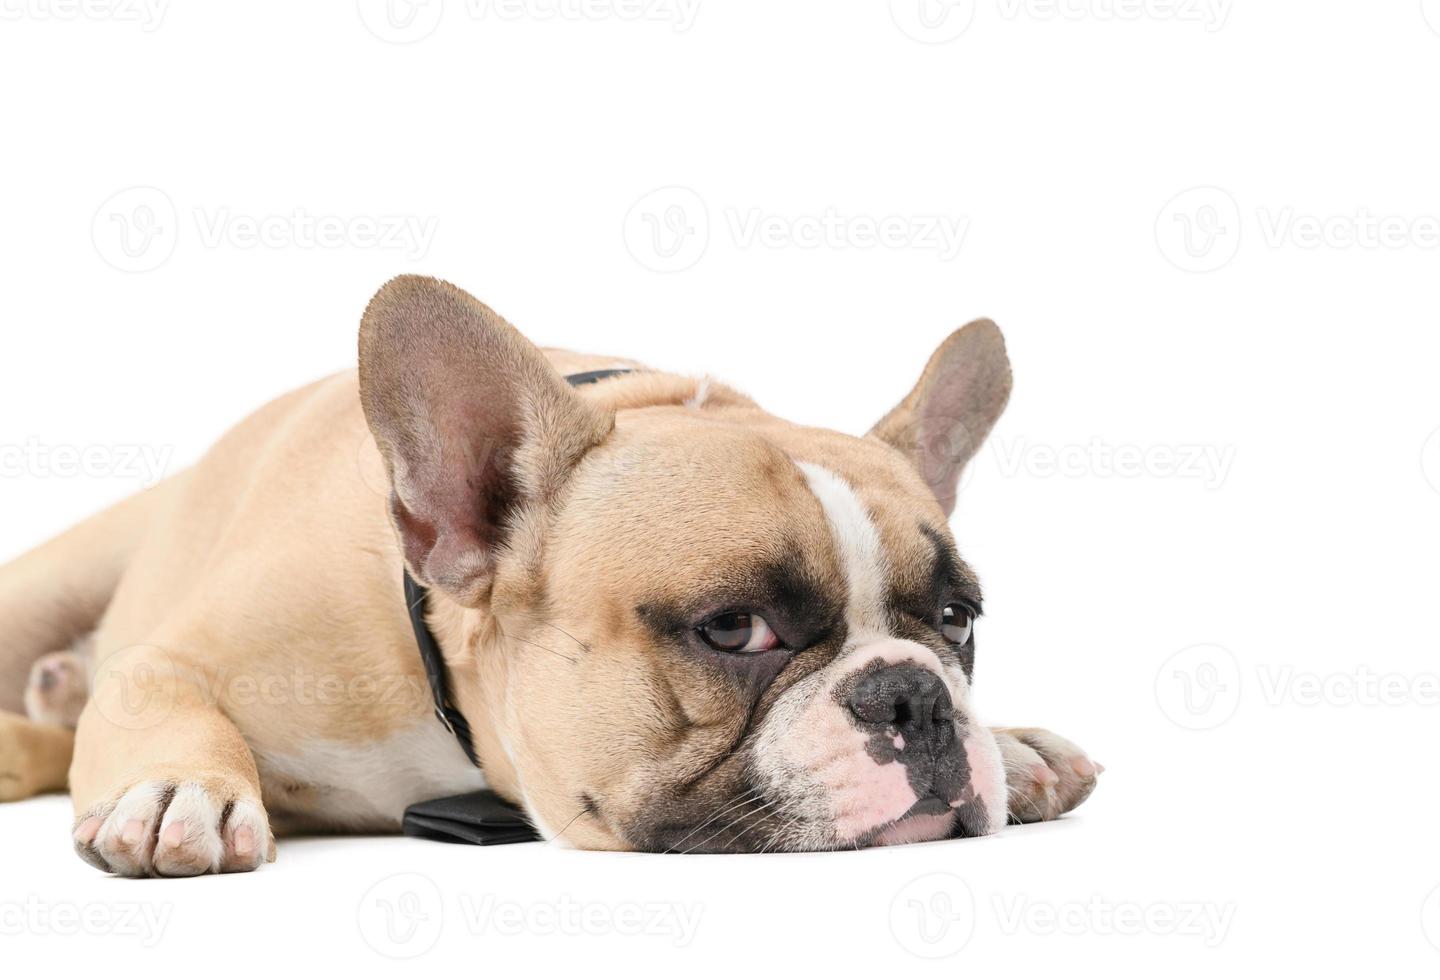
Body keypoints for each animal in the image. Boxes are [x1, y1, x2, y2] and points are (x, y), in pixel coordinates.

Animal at [0, 273, 1094, 869]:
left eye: (957, 619)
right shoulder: (175, 656)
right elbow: (160, 697)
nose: (913, 695)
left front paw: (1011, 741)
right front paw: (177, 789)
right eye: (733, 627)